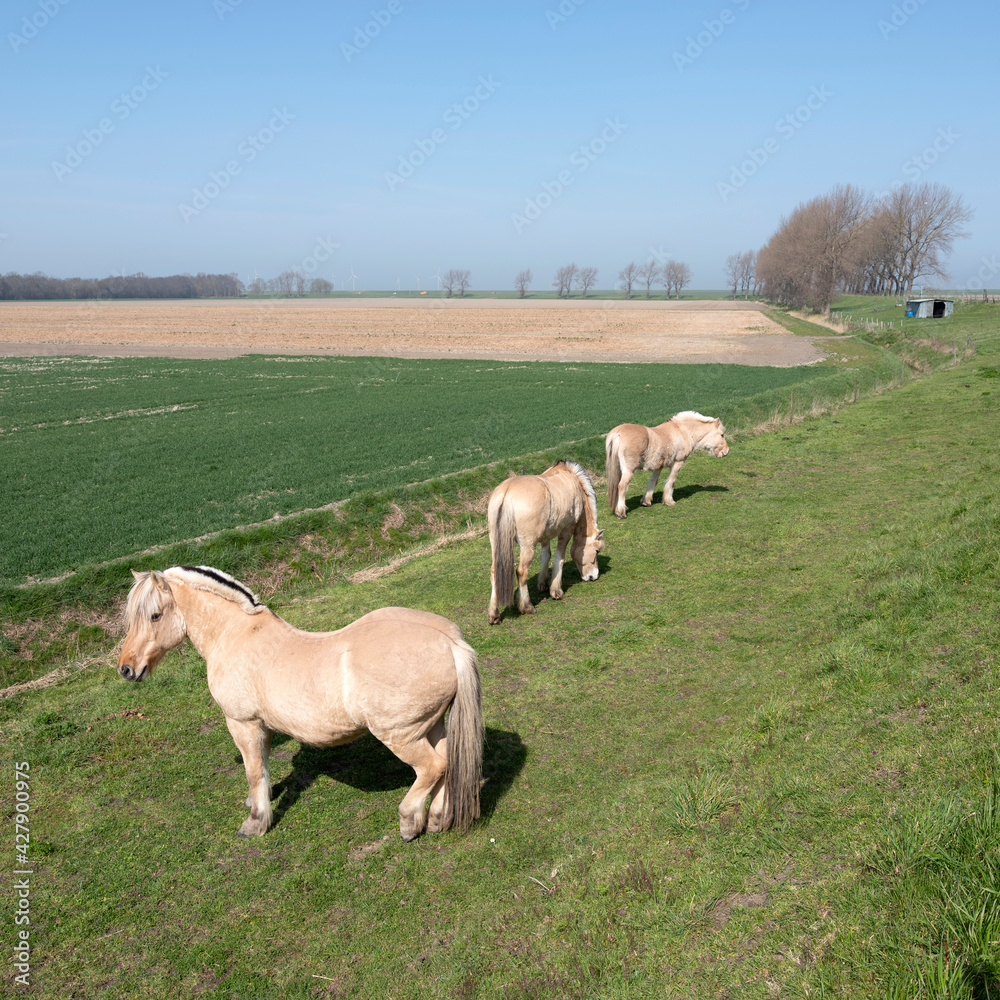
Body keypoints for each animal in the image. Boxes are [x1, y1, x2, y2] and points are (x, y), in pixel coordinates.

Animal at [118, 565, 483, 842]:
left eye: (154, 616)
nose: (126, 668)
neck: (234, 634)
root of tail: (450, 643)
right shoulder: (261, 726)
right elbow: (262, 768)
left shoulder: (242, 723)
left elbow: (253, 770)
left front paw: (255, 822)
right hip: (432, 726)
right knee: (447, 763)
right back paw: (436, 819)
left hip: (400, 735)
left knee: (433, 767)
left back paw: (409, 822)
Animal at [487, 460, 605, 624]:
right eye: (597, 551)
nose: (594, 576)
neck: (570, 479)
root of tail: (506, 493)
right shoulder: (566, 530)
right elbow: (559, 558)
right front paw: (556, 591)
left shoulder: (545, 536)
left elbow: (546, 555)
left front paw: (542, 584)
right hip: (527, 546)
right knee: (521, 572)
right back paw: (527, 607)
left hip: (495, 544)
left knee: (494, 572)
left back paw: (494, 614)